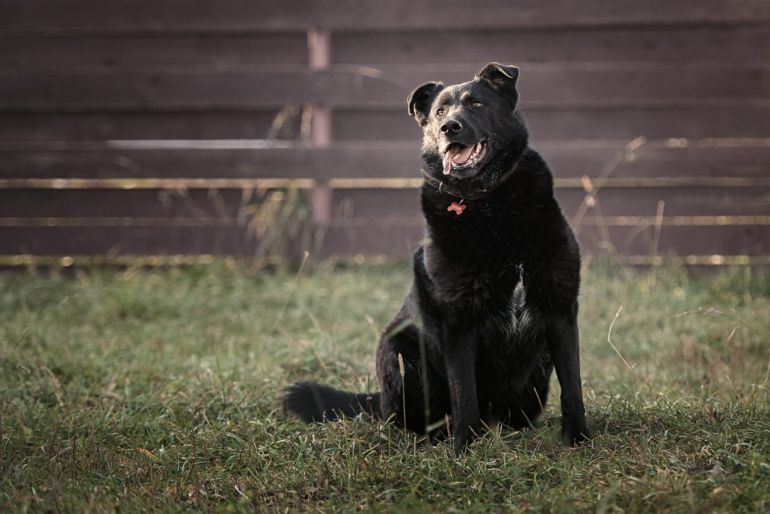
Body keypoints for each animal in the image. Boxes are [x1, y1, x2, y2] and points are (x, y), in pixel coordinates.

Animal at [282, 62, 588, 450]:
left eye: (476, 104)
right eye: (440, 112)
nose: (448, 128)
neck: (489, 202)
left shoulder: (560, 307)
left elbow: (573, 386)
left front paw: (579, 440)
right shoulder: (457, 320)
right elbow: (464, 392)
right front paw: (465, 449)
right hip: (400, 351)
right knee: (408, 418)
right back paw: (438, 436)